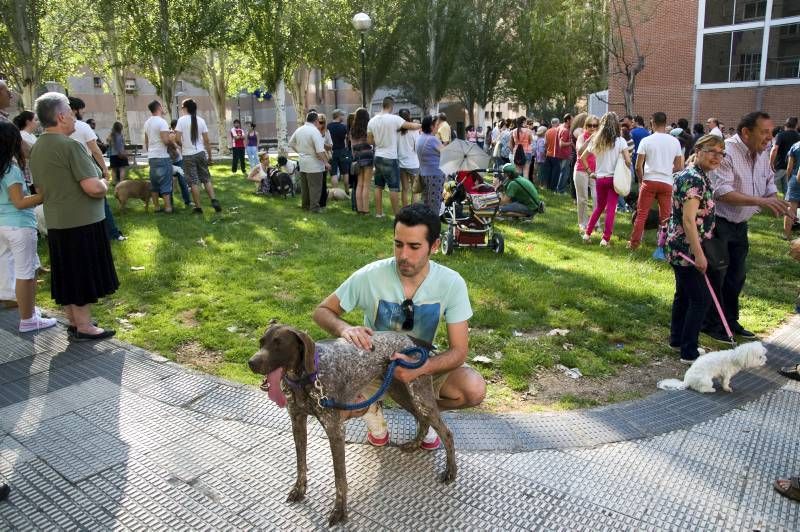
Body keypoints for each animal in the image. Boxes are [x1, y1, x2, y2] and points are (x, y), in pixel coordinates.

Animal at [247, 322, 456, 524]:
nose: (251, 363)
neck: (306, 379)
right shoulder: (297, 424)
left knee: (446, 432)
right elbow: (300, 464)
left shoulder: (336, 431)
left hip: (419, 395)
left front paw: (340, 511)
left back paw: (450, 471)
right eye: (261, 342)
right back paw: (415, 444)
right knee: (422, 419)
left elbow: (340, 478)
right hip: (400, 392)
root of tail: (410, 339)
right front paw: (299, 490)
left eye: (279, 344)